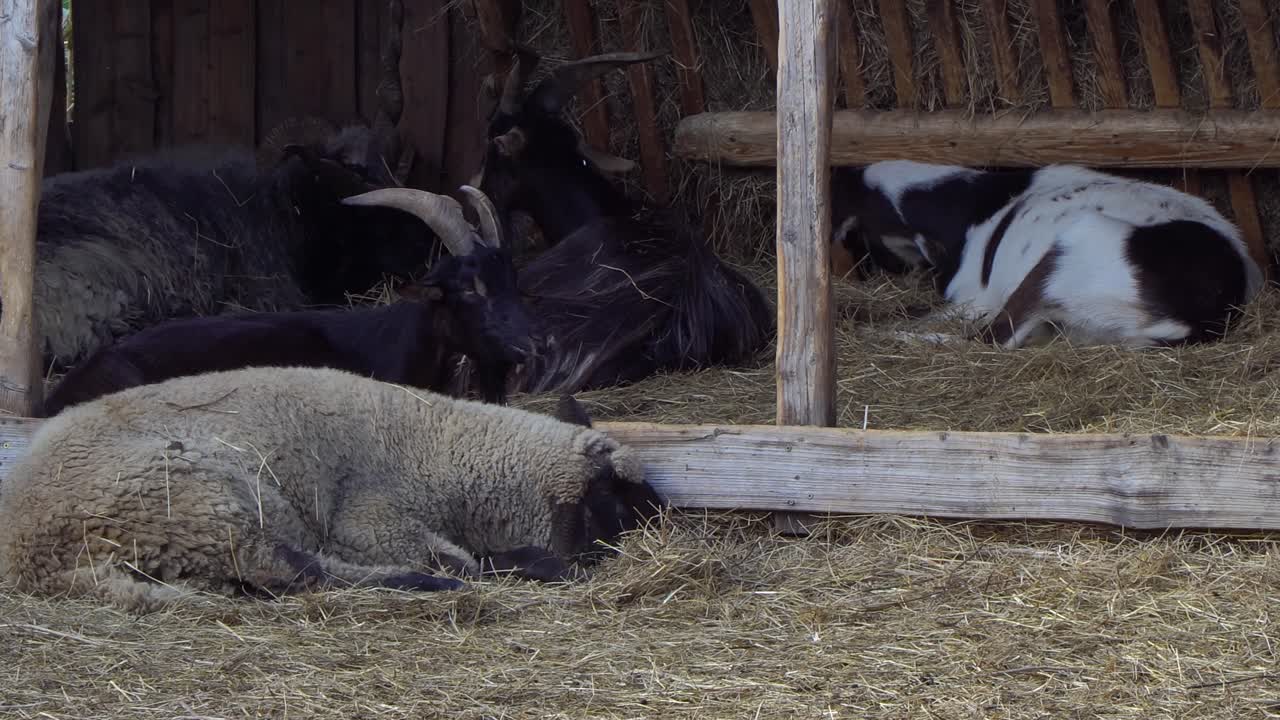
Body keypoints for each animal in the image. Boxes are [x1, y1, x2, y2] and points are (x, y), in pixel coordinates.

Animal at [0, 365, 662, 612]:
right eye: (615, 505)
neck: (441, 448)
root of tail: (30, 558)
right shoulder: (371, 523)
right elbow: (465, 560)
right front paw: (537, 566)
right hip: (205, 497)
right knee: (299, 572)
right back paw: (429, 585)